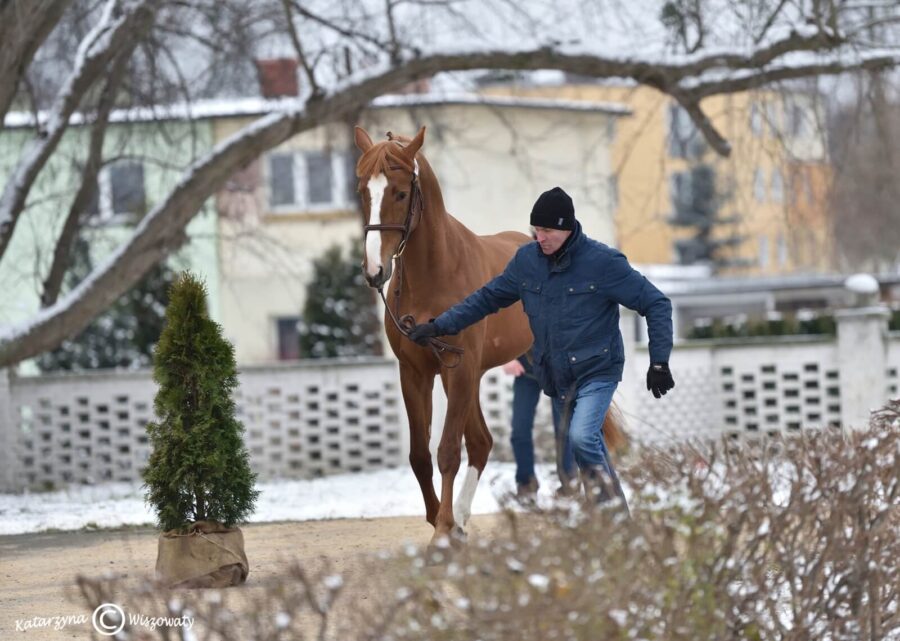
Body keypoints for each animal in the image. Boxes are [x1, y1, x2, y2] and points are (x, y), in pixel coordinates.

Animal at [354, 125, 624, 544]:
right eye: (363, 191)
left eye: (399, 192)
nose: (374, 270)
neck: (434, 273)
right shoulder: (417, 372)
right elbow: (420, 455)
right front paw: (440, 519)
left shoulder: (459, 369)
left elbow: (448, 451)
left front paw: (443, 531)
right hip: (478, 375)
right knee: (483, 442)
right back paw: (465, 520)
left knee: (565, 435)